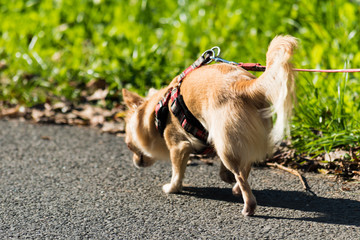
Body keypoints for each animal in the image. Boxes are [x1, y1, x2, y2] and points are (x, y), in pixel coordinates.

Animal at [122, 35, 296, 216]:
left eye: (129, 146)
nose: (135, 162)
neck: (158, 110)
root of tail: (242, 85)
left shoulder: (179, 146)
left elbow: (177, 173)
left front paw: (172, 188)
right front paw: (225, 176)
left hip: (225, 146)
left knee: (241, 174)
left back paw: (248, 206)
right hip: (227, 140)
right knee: (246, 165)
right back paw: (236, 188)